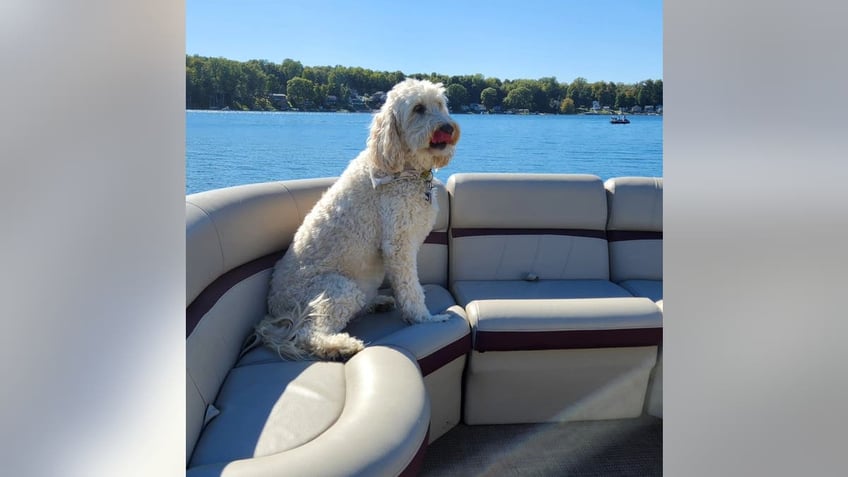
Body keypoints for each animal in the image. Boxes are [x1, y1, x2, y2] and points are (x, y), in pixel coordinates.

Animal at [253, 80, 460, 358]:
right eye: (418, 109)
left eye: (439, 104)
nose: (447, 127)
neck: (403, 169)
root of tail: (276, 311)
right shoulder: (398, 242)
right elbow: (409, 286)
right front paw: (425, 318)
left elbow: (408, 283)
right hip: (337, 289)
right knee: (308, 334)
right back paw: (341, 346)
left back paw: (378, 302)